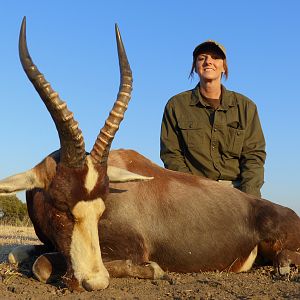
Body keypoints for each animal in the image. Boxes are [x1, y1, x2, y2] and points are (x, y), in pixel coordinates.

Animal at [0, 17, 300, 292]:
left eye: (101, 210)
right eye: (61, 207)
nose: (93, 282)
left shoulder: (131, 249)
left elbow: (42, 265)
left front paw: (154, 270)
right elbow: (16, 255)